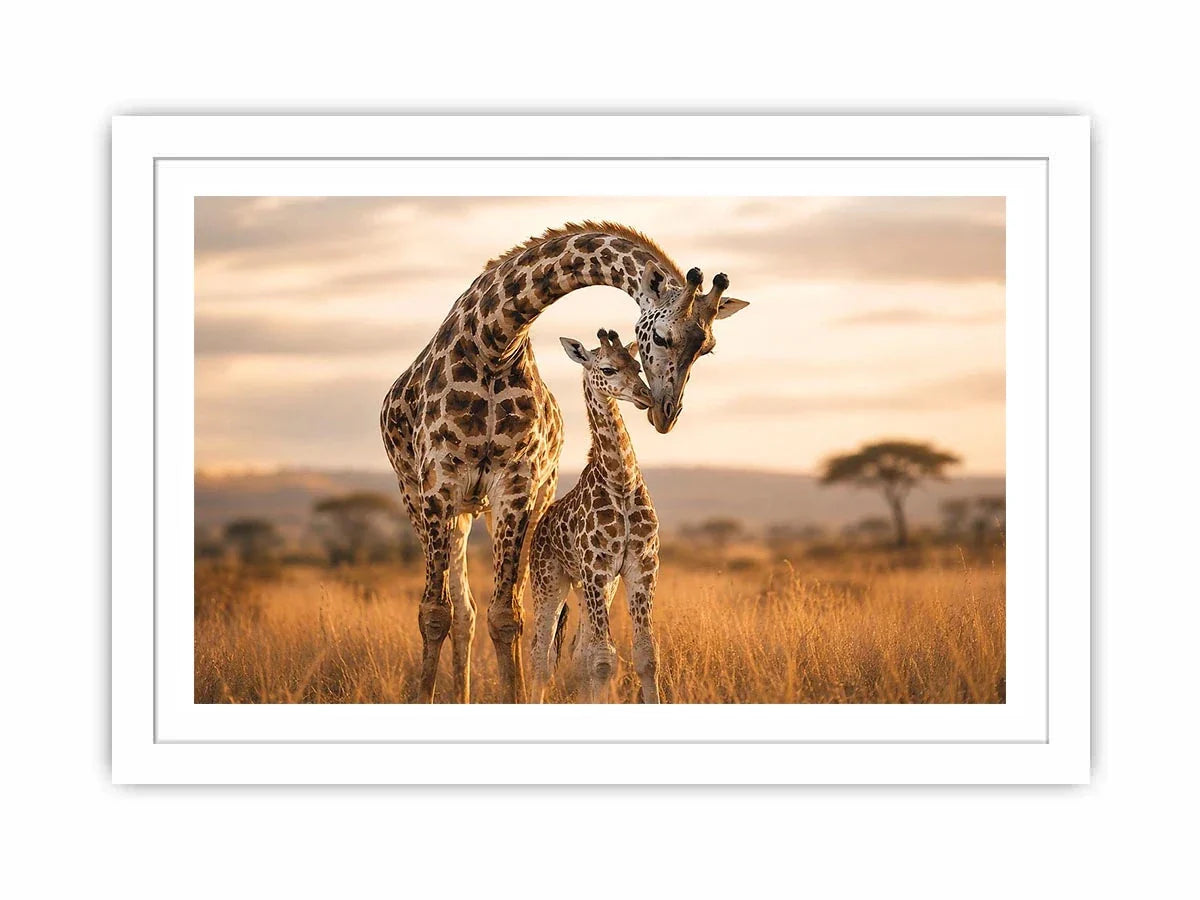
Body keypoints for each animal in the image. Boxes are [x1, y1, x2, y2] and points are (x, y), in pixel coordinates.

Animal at [528, 329, 662, 704]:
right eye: (607, 368)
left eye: (637, 365)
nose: (646, 396)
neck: (621, 482)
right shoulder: (596, 568)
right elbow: (604, 660)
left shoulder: (641, 566)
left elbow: (645, 654)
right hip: (550, 583)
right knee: (540, 656)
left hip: (592, 586)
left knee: (578, 652)